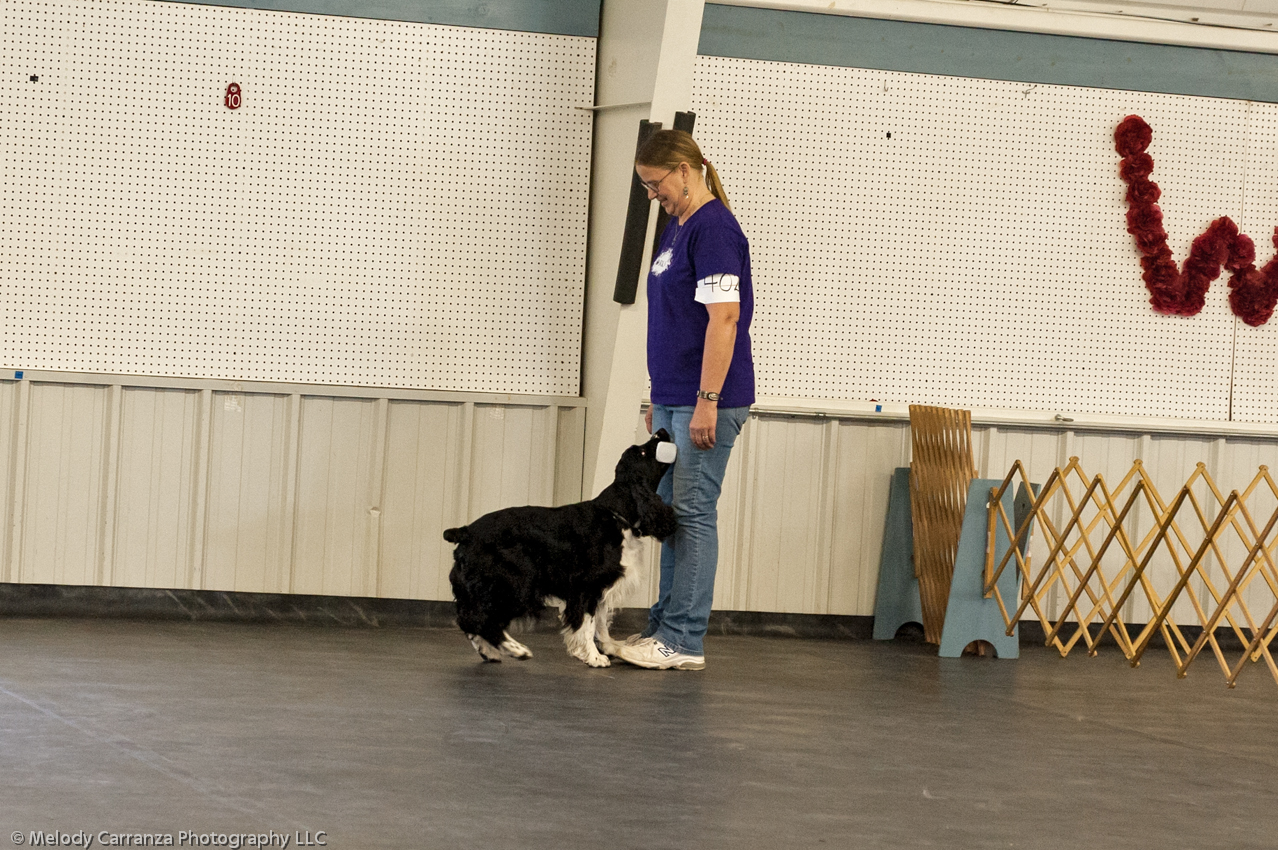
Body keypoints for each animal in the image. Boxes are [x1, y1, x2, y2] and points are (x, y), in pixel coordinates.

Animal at [444, 432, 679, 664]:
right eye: (643, 451)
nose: (662, 431)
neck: (616, 516)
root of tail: (466, 531)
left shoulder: (603, 585)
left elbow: (601, 621)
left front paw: (609, 647)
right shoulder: (587, 586)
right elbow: (588, 623)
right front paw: (594, 656)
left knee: (471, 618)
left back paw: (490, 651)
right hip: (517, 583)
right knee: (479, 619)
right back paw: (516, 650)